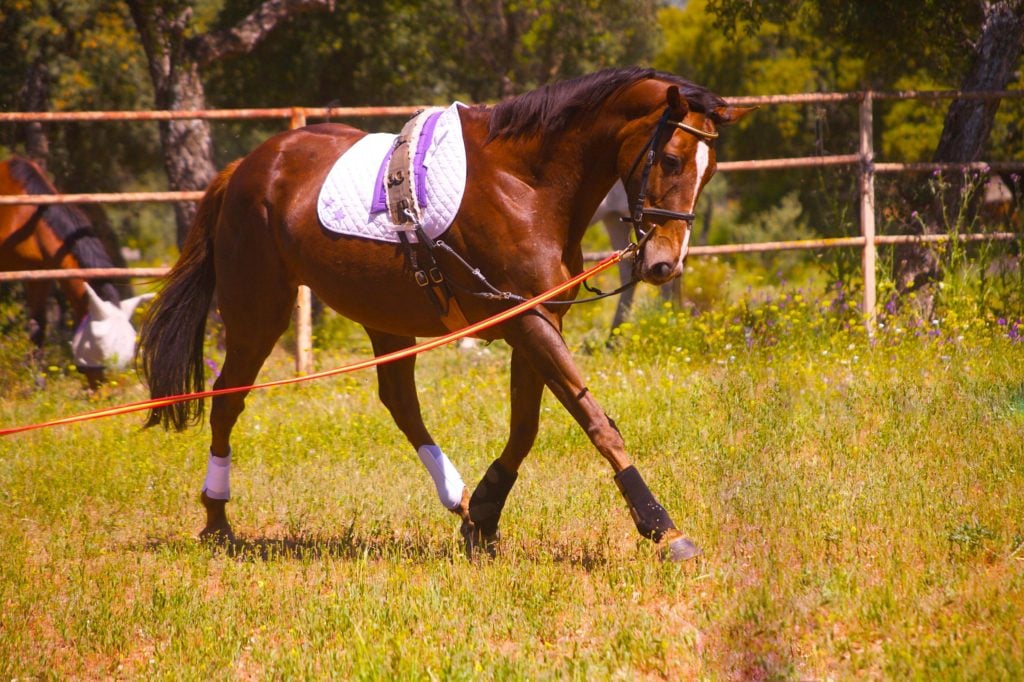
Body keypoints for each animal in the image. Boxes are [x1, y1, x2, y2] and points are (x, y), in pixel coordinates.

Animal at [0, 155, 153, 385]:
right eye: (100, 350)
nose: (110, 390)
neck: (21, 215)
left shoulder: (38, 273)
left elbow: (37, 325)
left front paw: (35, 383)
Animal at [142, 66, 753, 561]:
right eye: (670, 159)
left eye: (710, 170)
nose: (664, 265)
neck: (526, 185)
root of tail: (246, 168)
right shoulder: (528, 323)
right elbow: (596, 423)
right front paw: (663, 529)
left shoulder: (535, 323)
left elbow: (525, 428)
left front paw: (482, 517)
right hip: (257, 314)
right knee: (227, 403)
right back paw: (217, 521)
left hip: (383, 317)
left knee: (398, 402)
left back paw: (456, 496)